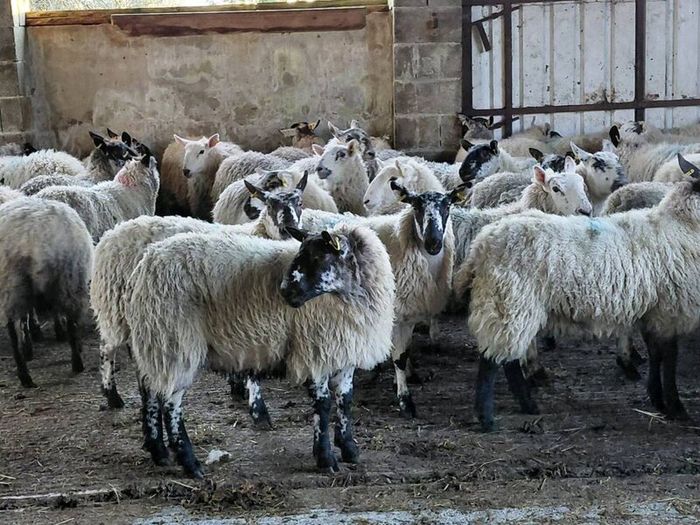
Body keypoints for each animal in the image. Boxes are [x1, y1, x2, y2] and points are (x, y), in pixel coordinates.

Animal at [0, 196, 93, 387]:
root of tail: (34, 237)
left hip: (13, 286)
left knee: (14, 333)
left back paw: (25, 376)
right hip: (69, 279)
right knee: (72, 322)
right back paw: (77, 363)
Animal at [124, 223, 395, 477]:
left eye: (318, 257)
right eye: (301, 252)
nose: (284, 291)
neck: (350, 297)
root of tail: (146, 263)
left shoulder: (347, 349)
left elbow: (345, 400)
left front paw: (349, 448)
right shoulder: (315, 350)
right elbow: (324, 404)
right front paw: (325, 458)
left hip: (155, 341)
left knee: (150, 391)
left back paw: (158, 451)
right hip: (176, 341)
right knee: (171, 403)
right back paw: (189, 463)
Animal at [455, 154, 700, 431]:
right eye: (556, 188)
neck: (681, 223)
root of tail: (481, 244)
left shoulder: (655, 309)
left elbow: (656, 354)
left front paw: (658, 399)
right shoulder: (671, 308)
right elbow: (670, 358)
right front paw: (676, 408)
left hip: (509, 303)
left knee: (508, 358)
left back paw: (528, 405)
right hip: (509, 299)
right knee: (492, 359)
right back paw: (487, 417)